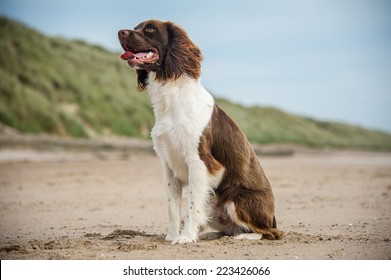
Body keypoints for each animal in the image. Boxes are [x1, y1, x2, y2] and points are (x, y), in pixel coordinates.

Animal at [118, 19, 284, 243]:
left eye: (150, 29)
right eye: (137, 27)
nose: (121, 32)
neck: (172, 97)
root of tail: (272, 216)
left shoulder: (199, 162)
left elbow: (191, 206)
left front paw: (186, 237)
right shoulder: (168, 166)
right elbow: (173, 207)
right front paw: (172, 236)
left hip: (236, 198)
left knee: (269, 232)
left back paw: (242, 237)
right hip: (214, 201)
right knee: (230, 227)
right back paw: (214, 235)